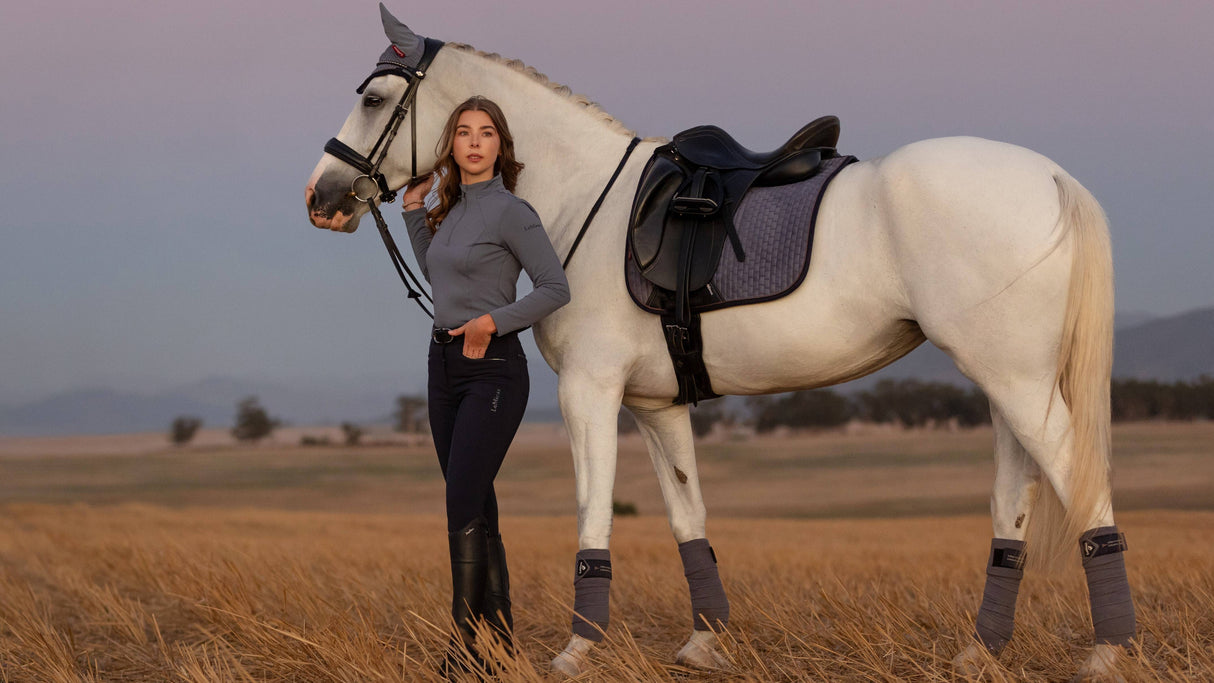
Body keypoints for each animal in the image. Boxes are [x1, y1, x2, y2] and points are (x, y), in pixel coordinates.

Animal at [305, 9, 1136, 679]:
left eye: (373, 98)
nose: (321, 199)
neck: (582, 201)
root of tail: (1052, 178)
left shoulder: (590, 391)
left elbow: (593, 511)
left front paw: (577, 648)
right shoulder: (656, 406)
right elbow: (687, 515)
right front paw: (705, 640)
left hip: (1019, 384)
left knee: (1082, 482)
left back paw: (1109, 650)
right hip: (1007, 381)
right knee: (1013, 501)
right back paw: (980, 650)